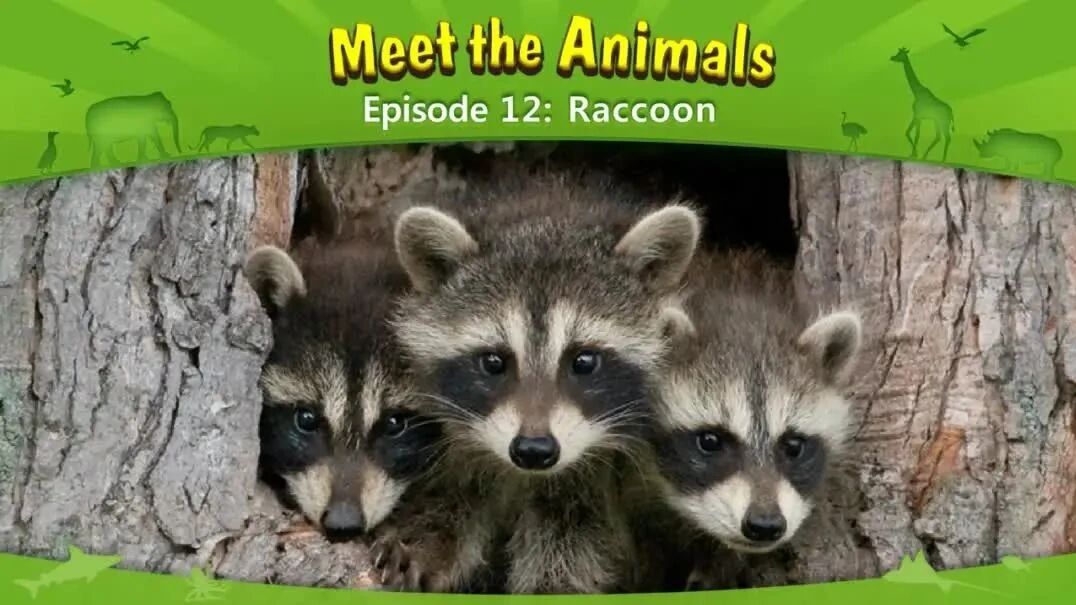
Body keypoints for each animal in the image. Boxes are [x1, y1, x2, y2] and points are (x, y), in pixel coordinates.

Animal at [371, 170, 702, 593]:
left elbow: (573, 539)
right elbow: (455, 493)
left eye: (584, 361)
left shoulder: (598, 479)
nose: (533, 450)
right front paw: (426, 536)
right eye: (493, 362)